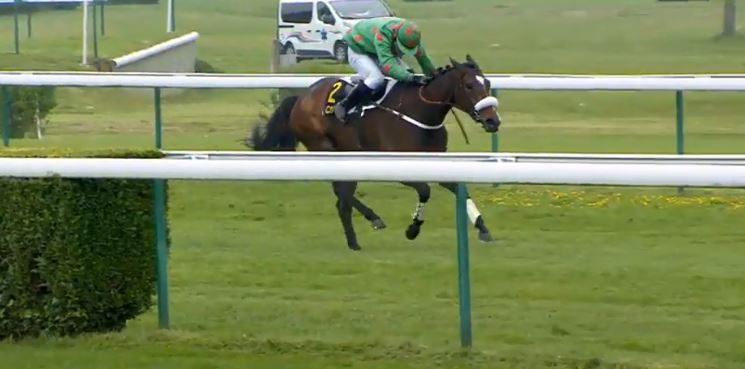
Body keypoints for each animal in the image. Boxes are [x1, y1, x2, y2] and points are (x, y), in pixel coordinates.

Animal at [248, 54, 500, 250]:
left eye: (487, 83)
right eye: (469, 86)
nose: (493, 121)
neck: (420, 113)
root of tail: (301, 97)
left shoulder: (437, 163)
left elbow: (459, 189)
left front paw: (483, 228)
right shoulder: (399, 166)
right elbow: (425, 191)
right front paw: (412, 229)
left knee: (343, 199)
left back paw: (358, 237)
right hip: (323, 146)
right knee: (342, 193)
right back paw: (370, 223)